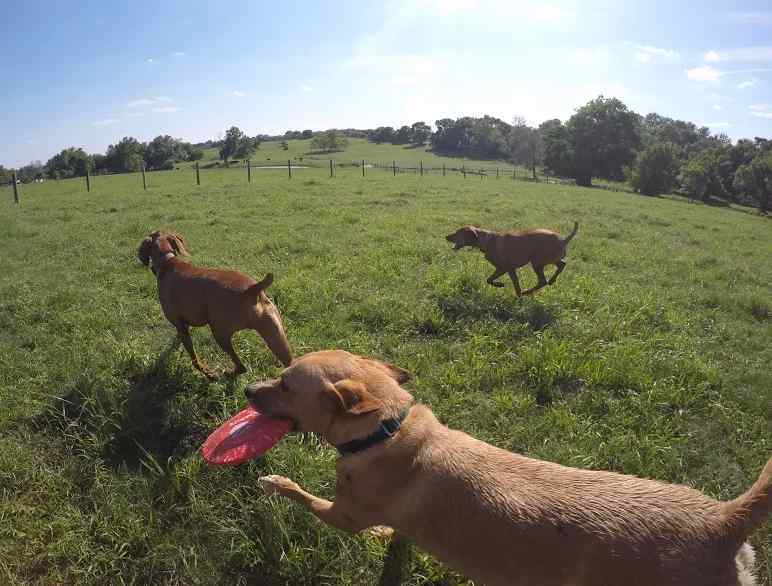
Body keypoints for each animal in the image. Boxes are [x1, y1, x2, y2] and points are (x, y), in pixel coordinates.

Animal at [137, 230, 292, 376]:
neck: (167, 261)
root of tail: (252, 289)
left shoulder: (180, 325)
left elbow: (194, 359)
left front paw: (207, 373)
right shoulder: (183, 326)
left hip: (219, 333)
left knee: (241, 367)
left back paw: (228, 373)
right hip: (274, 333)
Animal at [250, 350, 768, 580]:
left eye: (286, 383)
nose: (247, 389)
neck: (387, 428)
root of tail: (724, 520)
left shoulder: (341, 515)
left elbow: (302, 495)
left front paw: (276, 481)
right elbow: (396, 535)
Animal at [446, 220, 580, 294]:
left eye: (458, 233)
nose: (446, 236)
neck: (486, 240)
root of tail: (563, 240)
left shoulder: (507, 268)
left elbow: (508, 284)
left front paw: (509, 290)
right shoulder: (505, 269)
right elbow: (490, 279)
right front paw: (502, 286)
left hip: (537, 262)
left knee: (543, 281)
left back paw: (527, 292)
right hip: (548, 259)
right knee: (562, 264)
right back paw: (552, 280)